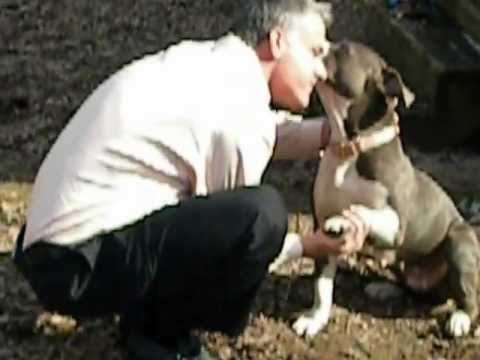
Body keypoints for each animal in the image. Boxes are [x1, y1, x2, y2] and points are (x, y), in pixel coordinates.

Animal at [272, 40, 478, 338]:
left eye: (344, 50)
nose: (319, 46)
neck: (348, 149)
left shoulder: (396, 225)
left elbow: (361, 210)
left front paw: (342, 219)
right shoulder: (322, 230)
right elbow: (322, 286)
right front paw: (314, 319)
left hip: (458, 241)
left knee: (466, 295)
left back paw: (460, 318)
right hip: (408, 266)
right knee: (413, 288)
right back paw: (385, 288)